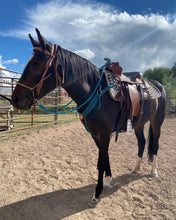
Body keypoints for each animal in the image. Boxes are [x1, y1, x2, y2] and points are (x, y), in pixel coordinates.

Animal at [11, 28, 166, 202]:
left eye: (37, 63)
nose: (15, 98)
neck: (97, 93)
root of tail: (159, 85)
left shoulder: (104, 134)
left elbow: (100, 161)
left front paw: (97, 193)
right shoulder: (95, 134)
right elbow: (105, 158)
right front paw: (108, 180)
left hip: (157, 123)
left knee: (155, 144)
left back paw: (153, 171)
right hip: (138, 124)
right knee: (142, 142)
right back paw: (136, 168)